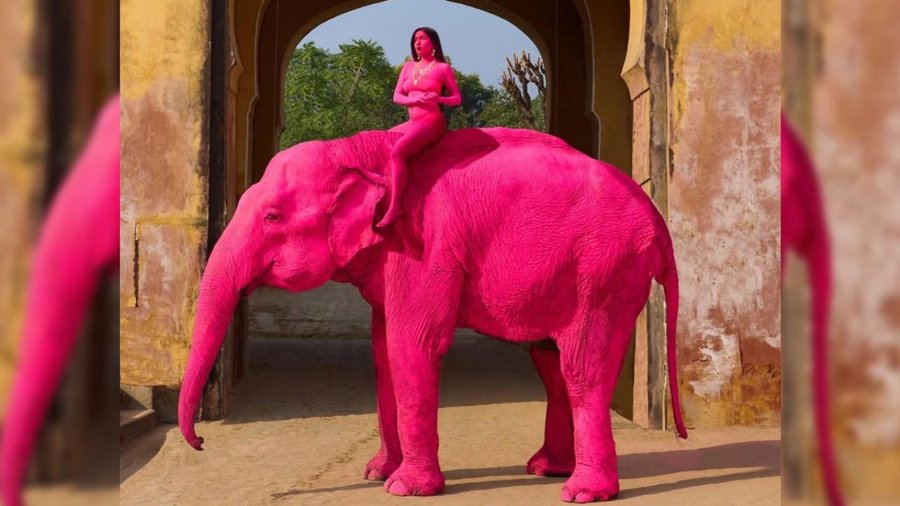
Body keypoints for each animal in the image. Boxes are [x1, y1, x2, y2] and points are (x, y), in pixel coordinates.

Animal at [178, 126, 688, 503]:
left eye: (272, 217)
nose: (201, 442)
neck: (360, 151)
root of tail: (658, 219)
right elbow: (383, 349)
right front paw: (375, 473)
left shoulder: (424, 247)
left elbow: (413, 343)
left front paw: (403, 488)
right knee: (550, 361)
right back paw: (545, 469)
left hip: (605, 269)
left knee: (582, 366)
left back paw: (581, 493)